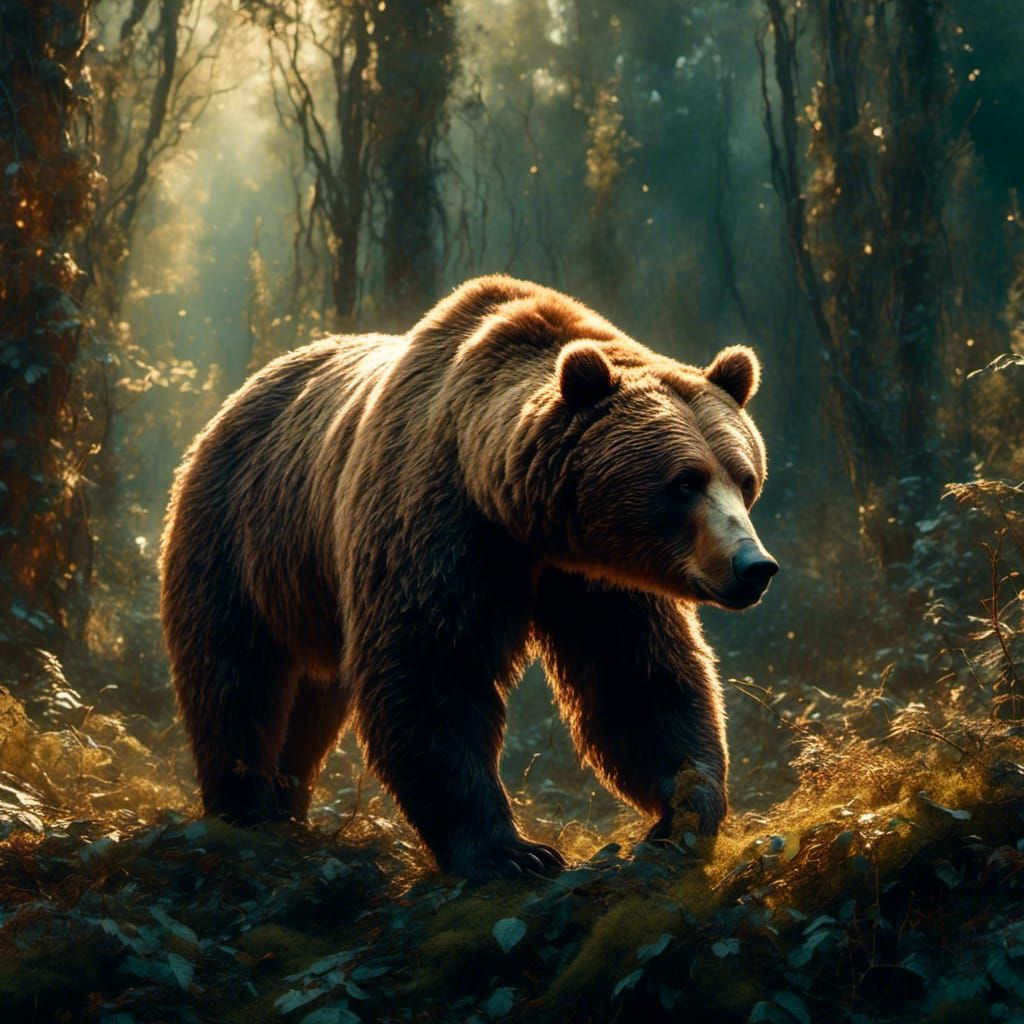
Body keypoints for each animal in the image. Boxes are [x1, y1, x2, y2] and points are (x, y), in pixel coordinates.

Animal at [160, 274, 777, 880]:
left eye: (745, 478)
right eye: (686, 481)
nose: (754, 566)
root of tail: (244, 390)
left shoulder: (597, 578)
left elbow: (639, 677)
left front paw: (684, 813)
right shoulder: (435, 523)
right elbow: (433, 670)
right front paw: (513, 851)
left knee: (310, 703)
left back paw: (287, 808)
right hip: (239, 533)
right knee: (235, 677)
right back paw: (244, 812)